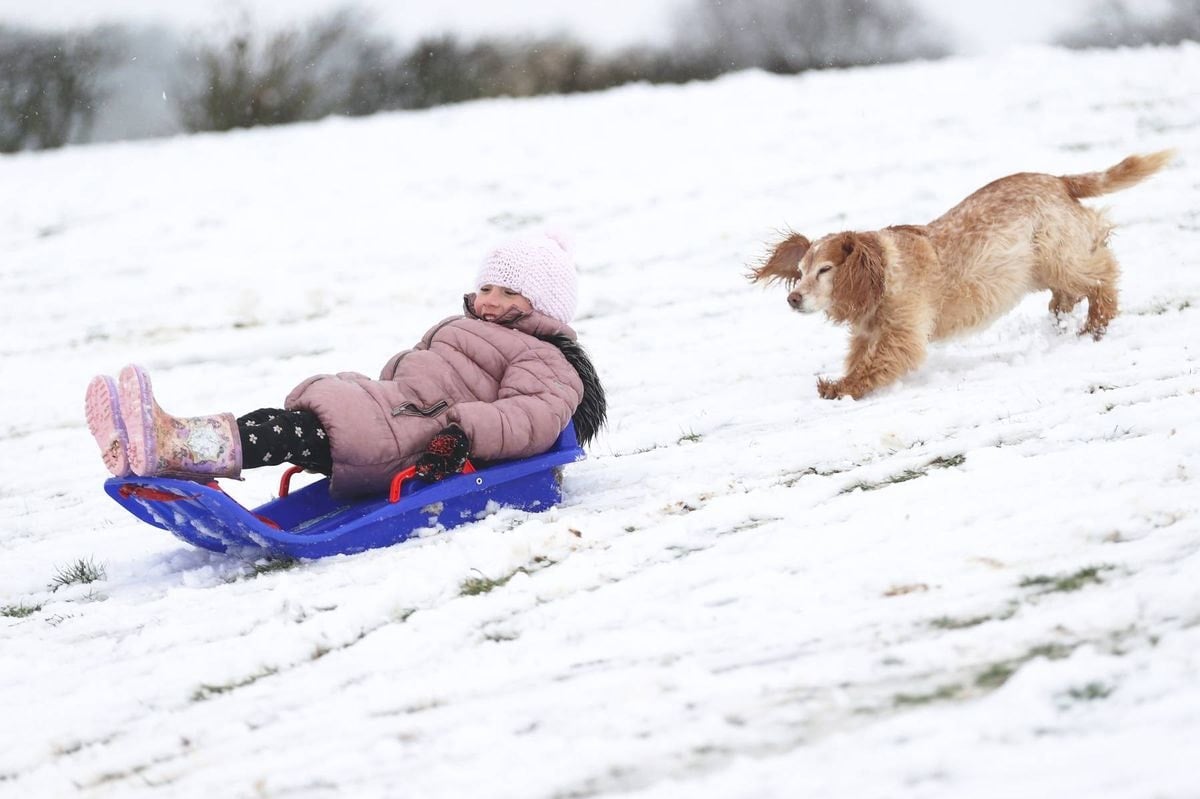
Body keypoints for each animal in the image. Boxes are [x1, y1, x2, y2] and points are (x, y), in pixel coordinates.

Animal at [750, 151, 1174, 399]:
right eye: (800, 271)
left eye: (825, 270)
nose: (793, 297)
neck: (883, 272)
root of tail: (1058, 180)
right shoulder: (868, 334)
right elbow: (859, 360)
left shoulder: (903, 336)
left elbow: (871, 368)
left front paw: (837, 388)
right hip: (1040, 267)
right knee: (1072, 290)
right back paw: (1063, 317)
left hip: (1060, 257)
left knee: (1104, 275)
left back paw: (1095, 324)